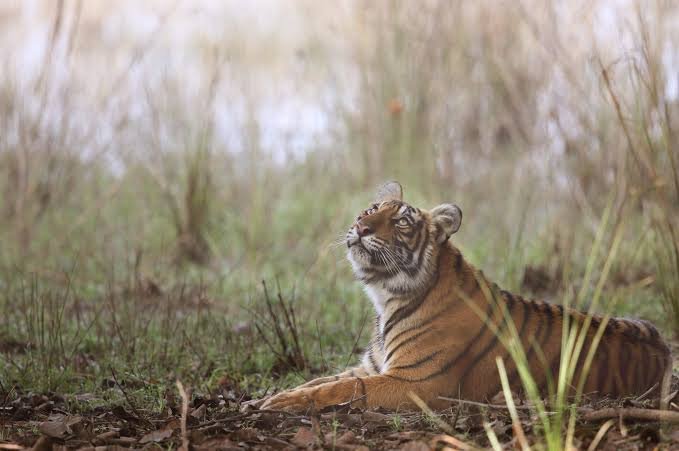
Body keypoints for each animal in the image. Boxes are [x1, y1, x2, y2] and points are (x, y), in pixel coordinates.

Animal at [260, 181, 672, 412]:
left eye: (401, 221)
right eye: (372, 209)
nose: (362, 227)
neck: (385, 296)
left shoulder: (415, 383)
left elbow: (342, 388)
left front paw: (279, 403)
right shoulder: (372, 368)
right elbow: (319, 381)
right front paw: (268, 397)